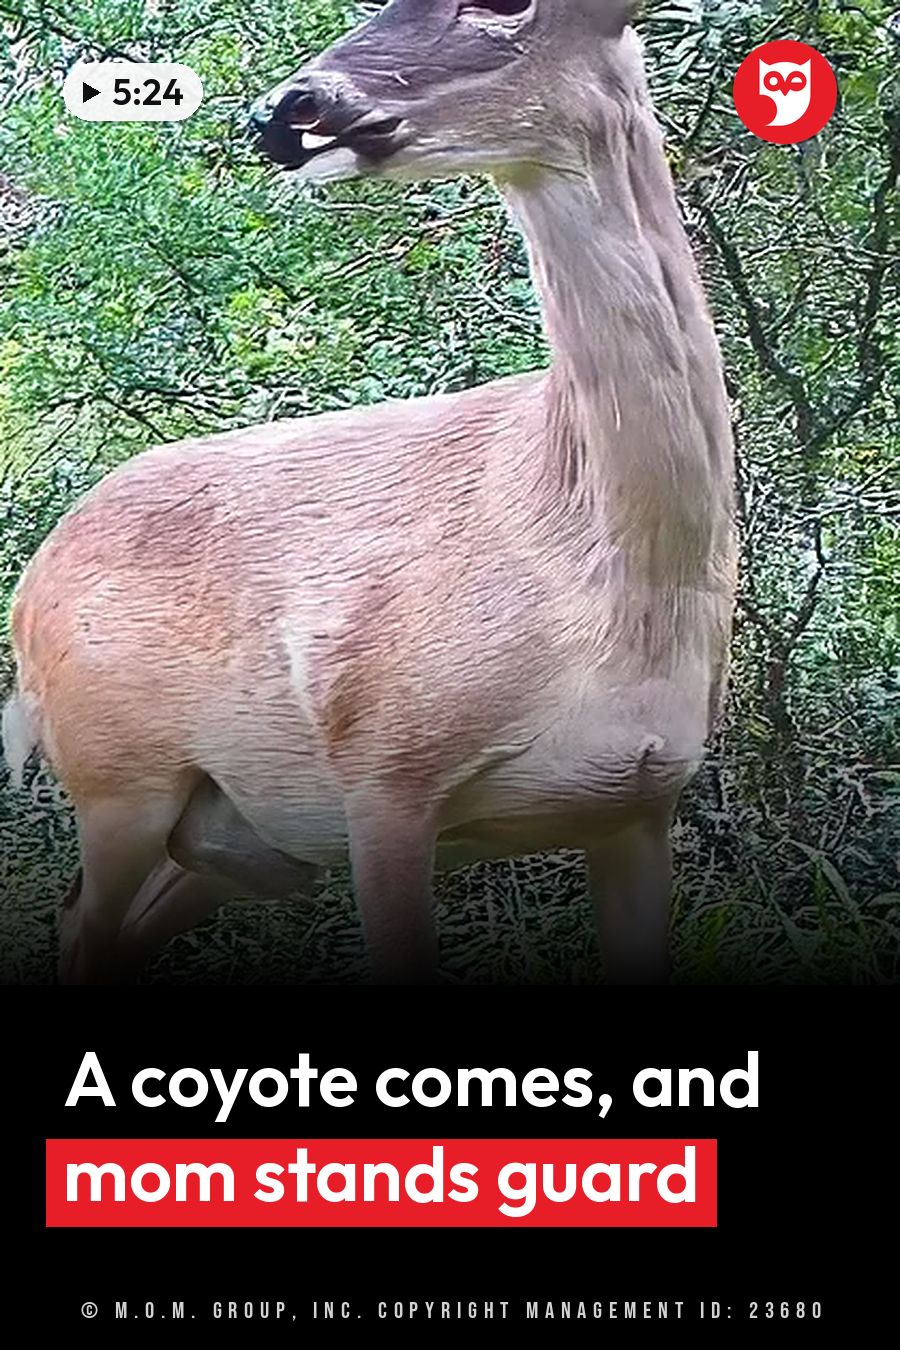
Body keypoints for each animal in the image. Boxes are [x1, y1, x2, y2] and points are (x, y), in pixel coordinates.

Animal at [3, 0, 736, 985]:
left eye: (505, 6)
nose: (290, 107)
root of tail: (32, 581)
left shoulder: (640, 803)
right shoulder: (386, 767)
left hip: (232, 840)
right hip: (119, 775)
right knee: (79, 924)